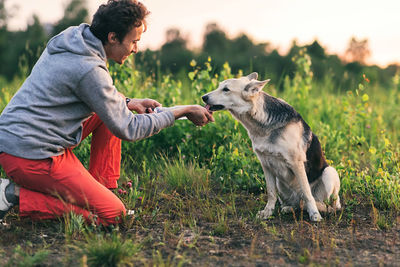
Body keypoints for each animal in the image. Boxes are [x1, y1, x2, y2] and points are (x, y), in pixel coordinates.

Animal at [203, 73, 340, 222]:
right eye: (219, 86)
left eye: (226, 89)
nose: (203, 97)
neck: (261, 125)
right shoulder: (266, 164)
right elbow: (271, 193)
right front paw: (267, 212)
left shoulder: (296, 163)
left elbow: (307, 193)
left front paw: (314, 214)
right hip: (281, 183)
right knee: (298, 204)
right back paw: (290, 208)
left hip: (329, 172)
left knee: (327, 204)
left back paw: (321, 209)